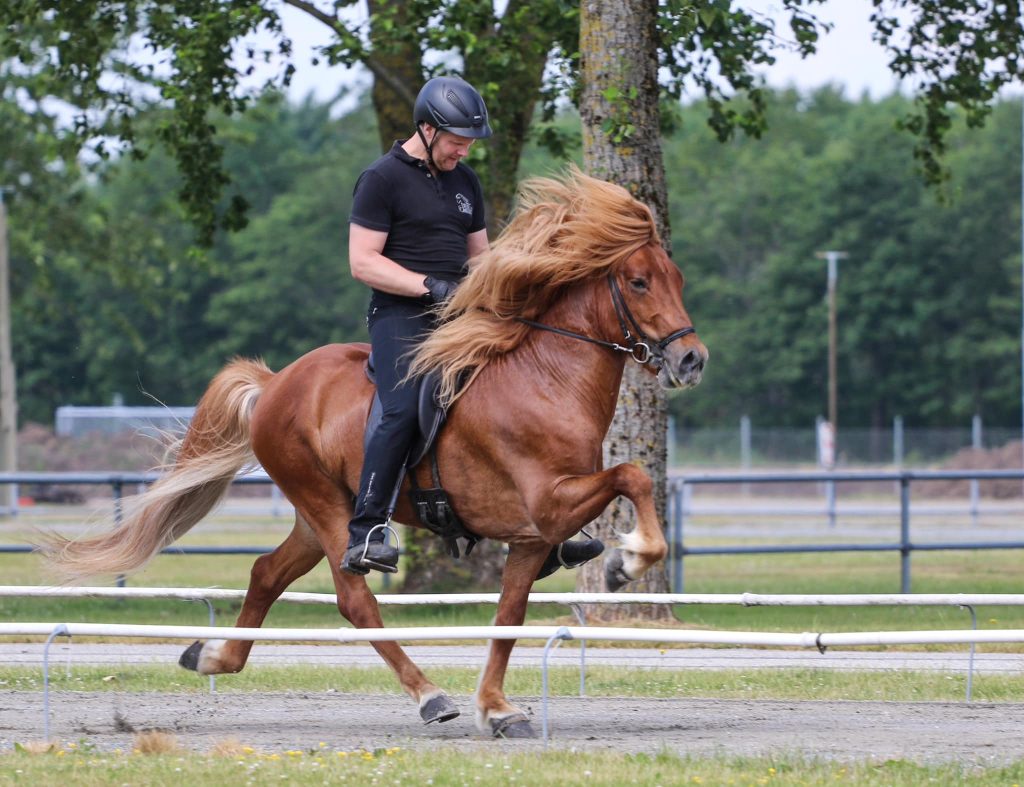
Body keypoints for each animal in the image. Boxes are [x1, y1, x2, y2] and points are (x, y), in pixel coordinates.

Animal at [46, 167, 704, 736]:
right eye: (639, 281)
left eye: (676, 278)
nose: (692, 360)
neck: (545, 377)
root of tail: (276, 382)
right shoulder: (547, 504)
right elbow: (634, 475)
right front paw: (627, 562)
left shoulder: (532, 535)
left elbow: (508, 616)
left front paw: (497, 709)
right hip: (324, 506)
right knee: (354, 597)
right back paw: (429, 696)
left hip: (319, 515)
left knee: (266, 573)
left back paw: (212, 657)